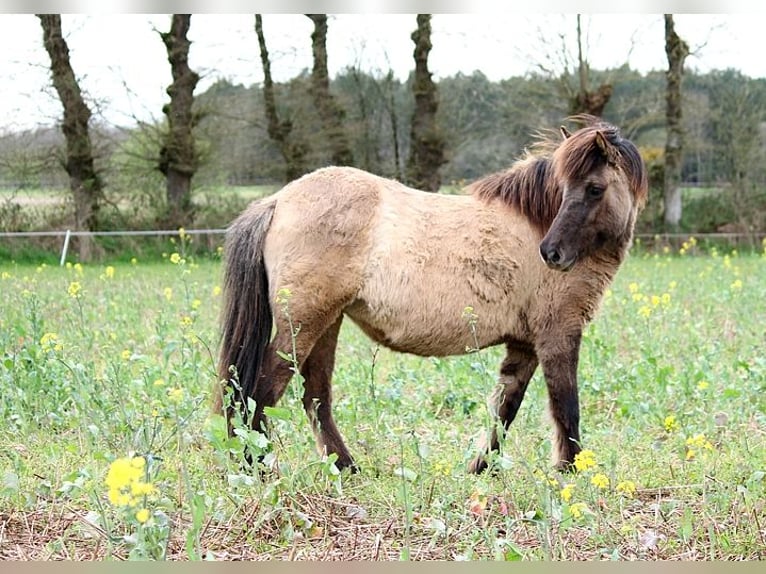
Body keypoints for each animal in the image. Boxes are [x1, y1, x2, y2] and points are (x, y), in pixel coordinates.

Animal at [214, 118, 648, 476]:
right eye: (566, 188)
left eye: (593, 188)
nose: (552, 253)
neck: (532, 223)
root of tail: (278, 201)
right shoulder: (558, 335)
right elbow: (565, 406)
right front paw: (570, 471)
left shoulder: (525, 345)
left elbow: (504, 408)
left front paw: (480, 469)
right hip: (302, 325)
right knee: (260, 394)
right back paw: (259, 469)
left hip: (326, 324)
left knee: (315, 396)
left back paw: (345, 467)